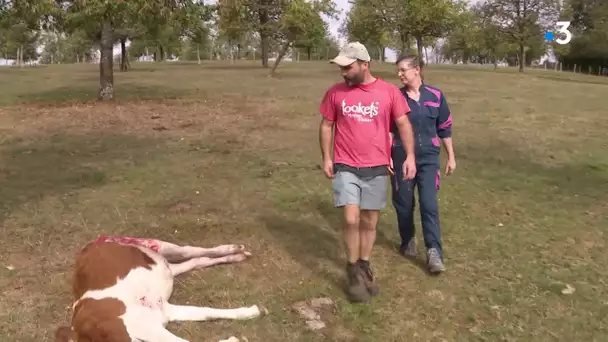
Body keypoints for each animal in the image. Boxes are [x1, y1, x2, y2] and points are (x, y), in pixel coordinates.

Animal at [54, 236, 266, 342]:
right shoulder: (164, 311)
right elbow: (206, 312)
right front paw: (251, 312)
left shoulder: (144, 326)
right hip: (170, 267)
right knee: (197, 260)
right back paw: (236, 256)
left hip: (160, 246)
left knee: (192, 250)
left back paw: (233, 249)